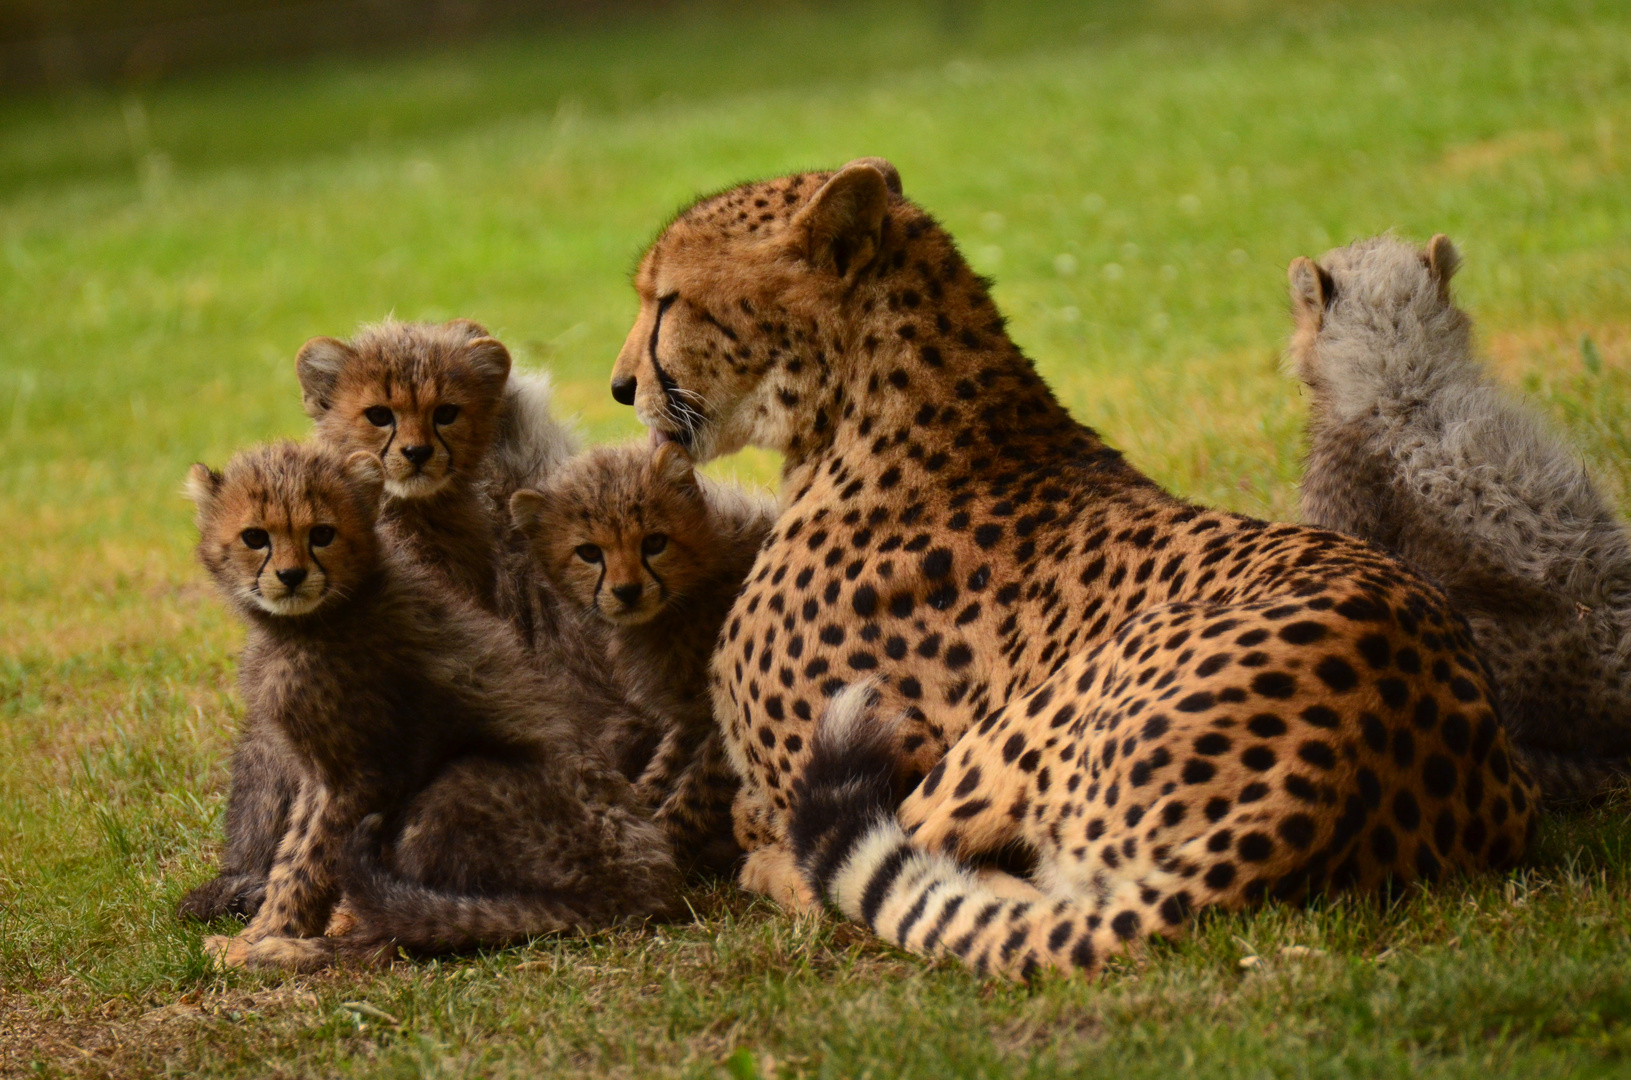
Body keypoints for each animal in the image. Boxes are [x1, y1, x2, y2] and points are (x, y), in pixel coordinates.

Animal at [606, 160, 1533, 978]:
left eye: (666, 300)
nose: (618, 388)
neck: (871, 416)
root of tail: (1323, 777)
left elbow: (773, 834)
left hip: (1002, 739)